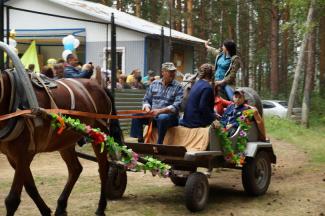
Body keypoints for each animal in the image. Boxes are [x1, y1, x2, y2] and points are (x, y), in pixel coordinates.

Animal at [0, 70, 123, 215]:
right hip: (65, 141)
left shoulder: (24, 154)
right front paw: (46, 211)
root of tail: (100, 86)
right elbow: (31, 187)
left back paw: (101, 207)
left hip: (99, 134)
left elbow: (12, 200)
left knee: (103, 168)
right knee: (75, 169)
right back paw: (61, 205)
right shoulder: (12, 157)